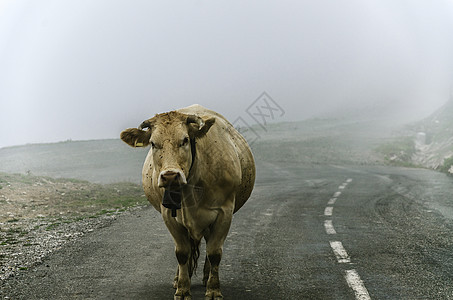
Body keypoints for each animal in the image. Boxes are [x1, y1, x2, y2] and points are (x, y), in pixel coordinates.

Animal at [120, 104, 254, 298]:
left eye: (184, 140)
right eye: (153, 143)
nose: (170, 176)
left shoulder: (224, 212)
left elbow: (214, 252)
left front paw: (213, 290)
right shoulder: (169, 214)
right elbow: (182, 252)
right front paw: (182, 289)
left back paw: (205, 276)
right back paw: (179, 279)